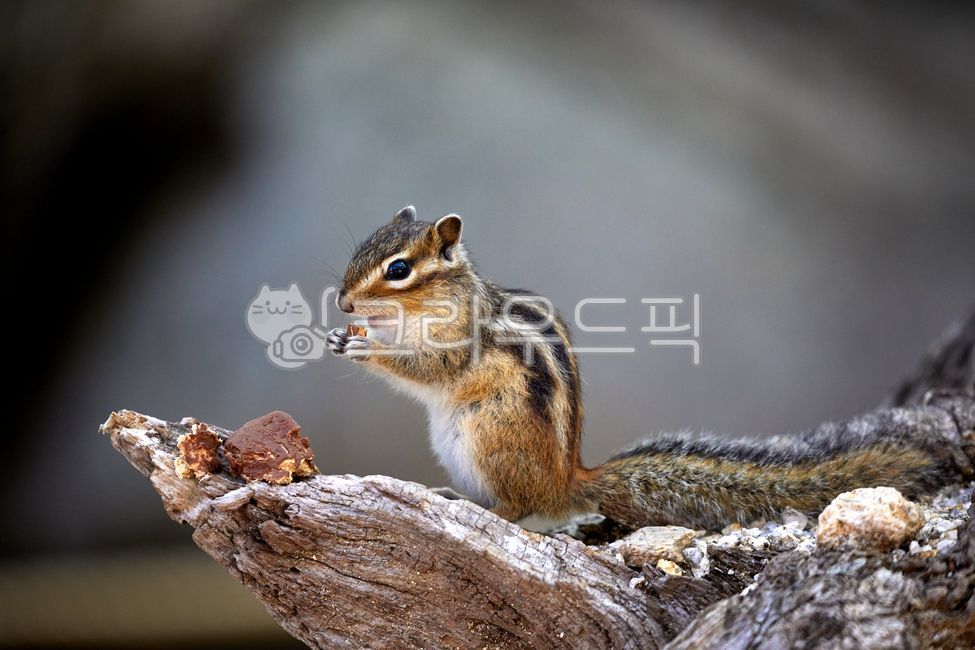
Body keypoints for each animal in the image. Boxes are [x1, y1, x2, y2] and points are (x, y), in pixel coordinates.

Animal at [325, 205, 971, 530]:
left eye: (400, 269)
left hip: (487, 437)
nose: (345, 303)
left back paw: (473, 505)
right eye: (362, 251)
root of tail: (568, 480)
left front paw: (366, 349)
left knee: (517, 508)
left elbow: (432, 367)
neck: (438, 298)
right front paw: (342, 336)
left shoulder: (457, 342)